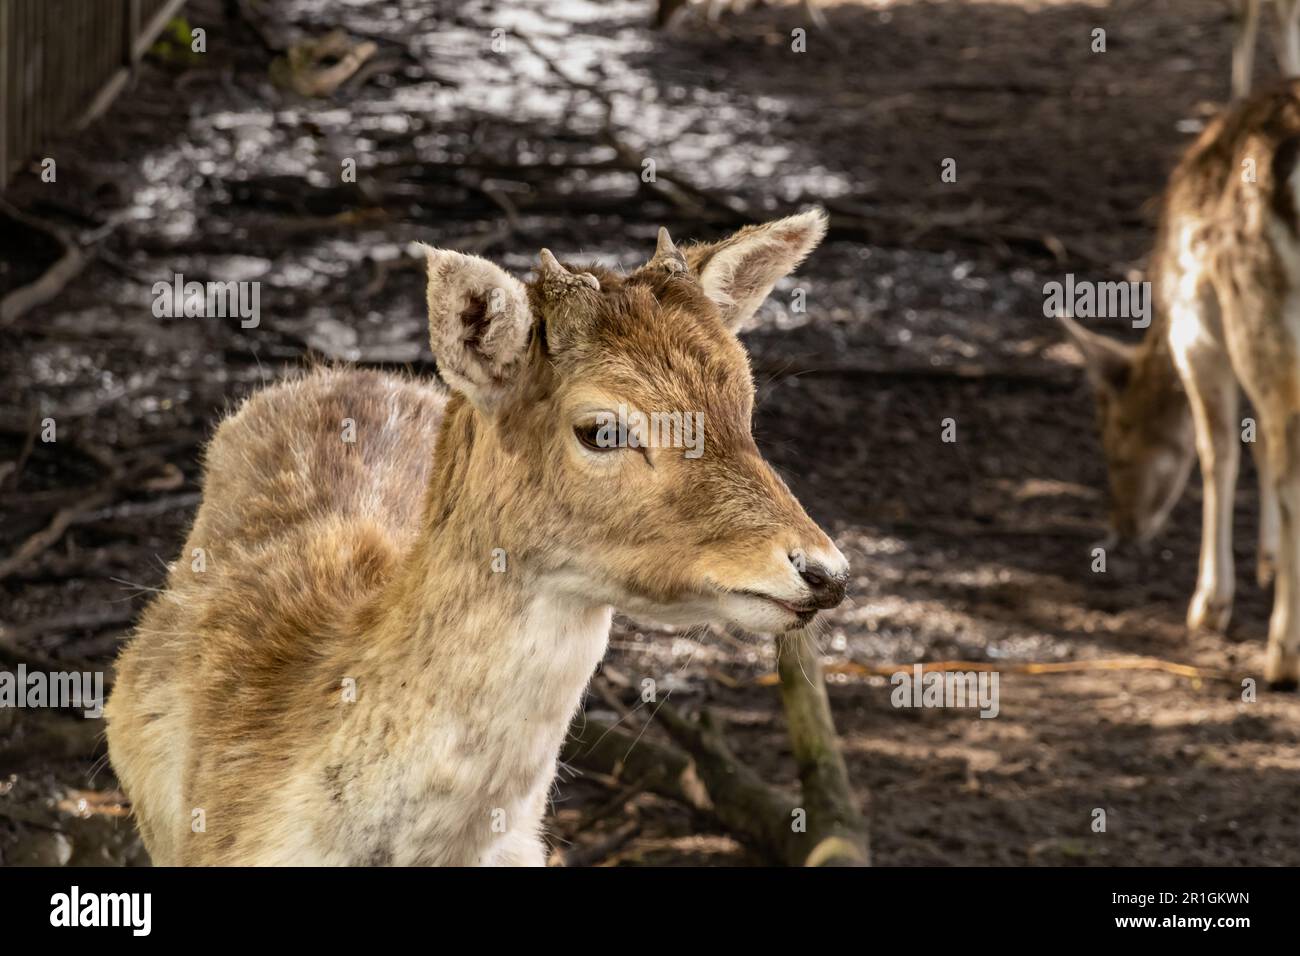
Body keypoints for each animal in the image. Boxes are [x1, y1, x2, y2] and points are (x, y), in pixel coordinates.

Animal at [1059, 82, 1300, 690]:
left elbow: (1218, 450)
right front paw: (1265, 562)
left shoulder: (1197, 327)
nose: (1121, 528)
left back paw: (1283, 653)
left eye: (1114, 445)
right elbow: (1254, 443)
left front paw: (1209, 605)